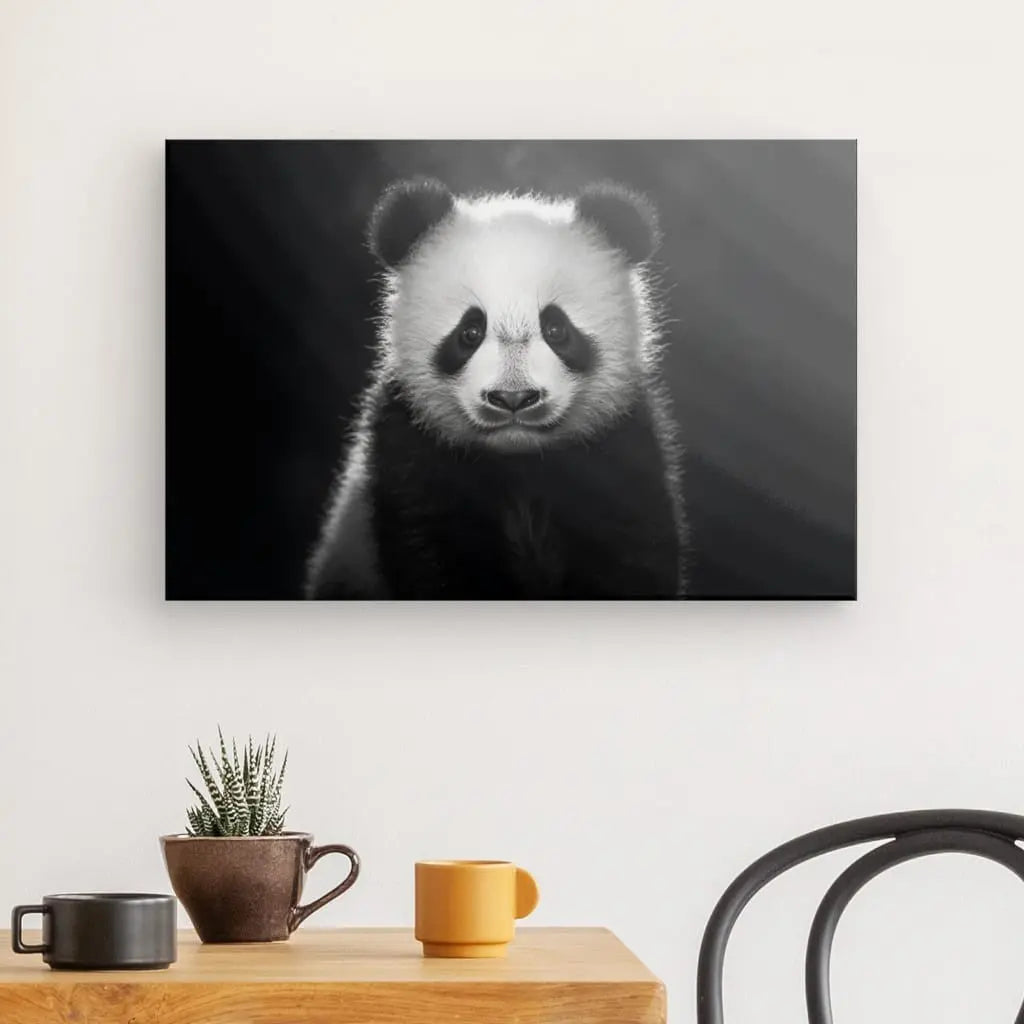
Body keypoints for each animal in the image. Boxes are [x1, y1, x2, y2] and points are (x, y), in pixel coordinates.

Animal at [307, 178, 684, 598]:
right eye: (470, 332)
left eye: (557, 329)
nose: (514, 398)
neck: (519, 460)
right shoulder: (411, 450)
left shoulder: (621, 445)